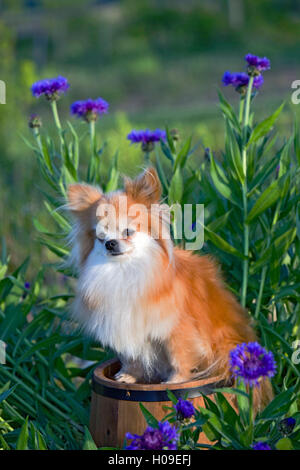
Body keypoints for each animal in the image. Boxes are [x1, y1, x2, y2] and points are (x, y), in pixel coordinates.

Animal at [67, 167, 274, 410]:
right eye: (100, 238)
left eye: (128, 232)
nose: (110, 243)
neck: (126, 270)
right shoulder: (129, 324)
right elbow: (131, 356)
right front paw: (127, 376)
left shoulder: (177, 330)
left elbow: (179, 357)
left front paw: (175, 382)